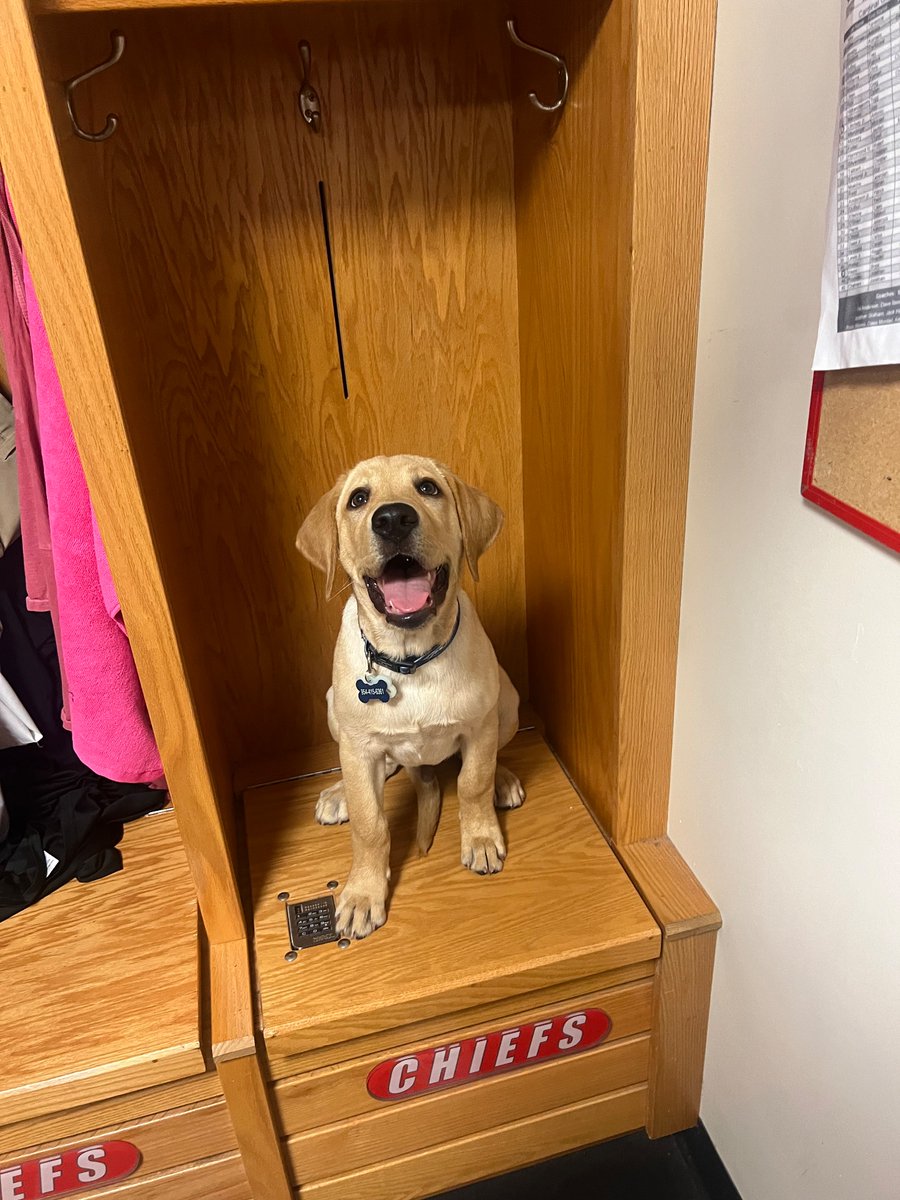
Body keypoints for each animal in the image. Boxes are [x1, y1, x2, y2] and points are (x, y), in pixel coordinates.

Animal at [297, 453, 520, 940]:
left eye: (428, 488)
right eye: (358, 499)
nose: (393, 519)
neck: (411, 659)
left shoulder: (479, 726)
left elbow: (472, 781)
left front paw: (480, 836)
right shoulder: (358, 746)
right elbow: (370, 824)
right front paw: (364, 893)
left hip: (506, 699)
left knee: (491, 754)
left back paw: (505, 778)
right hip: (335, 711)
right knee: (382, 767)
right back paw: (341, 793)